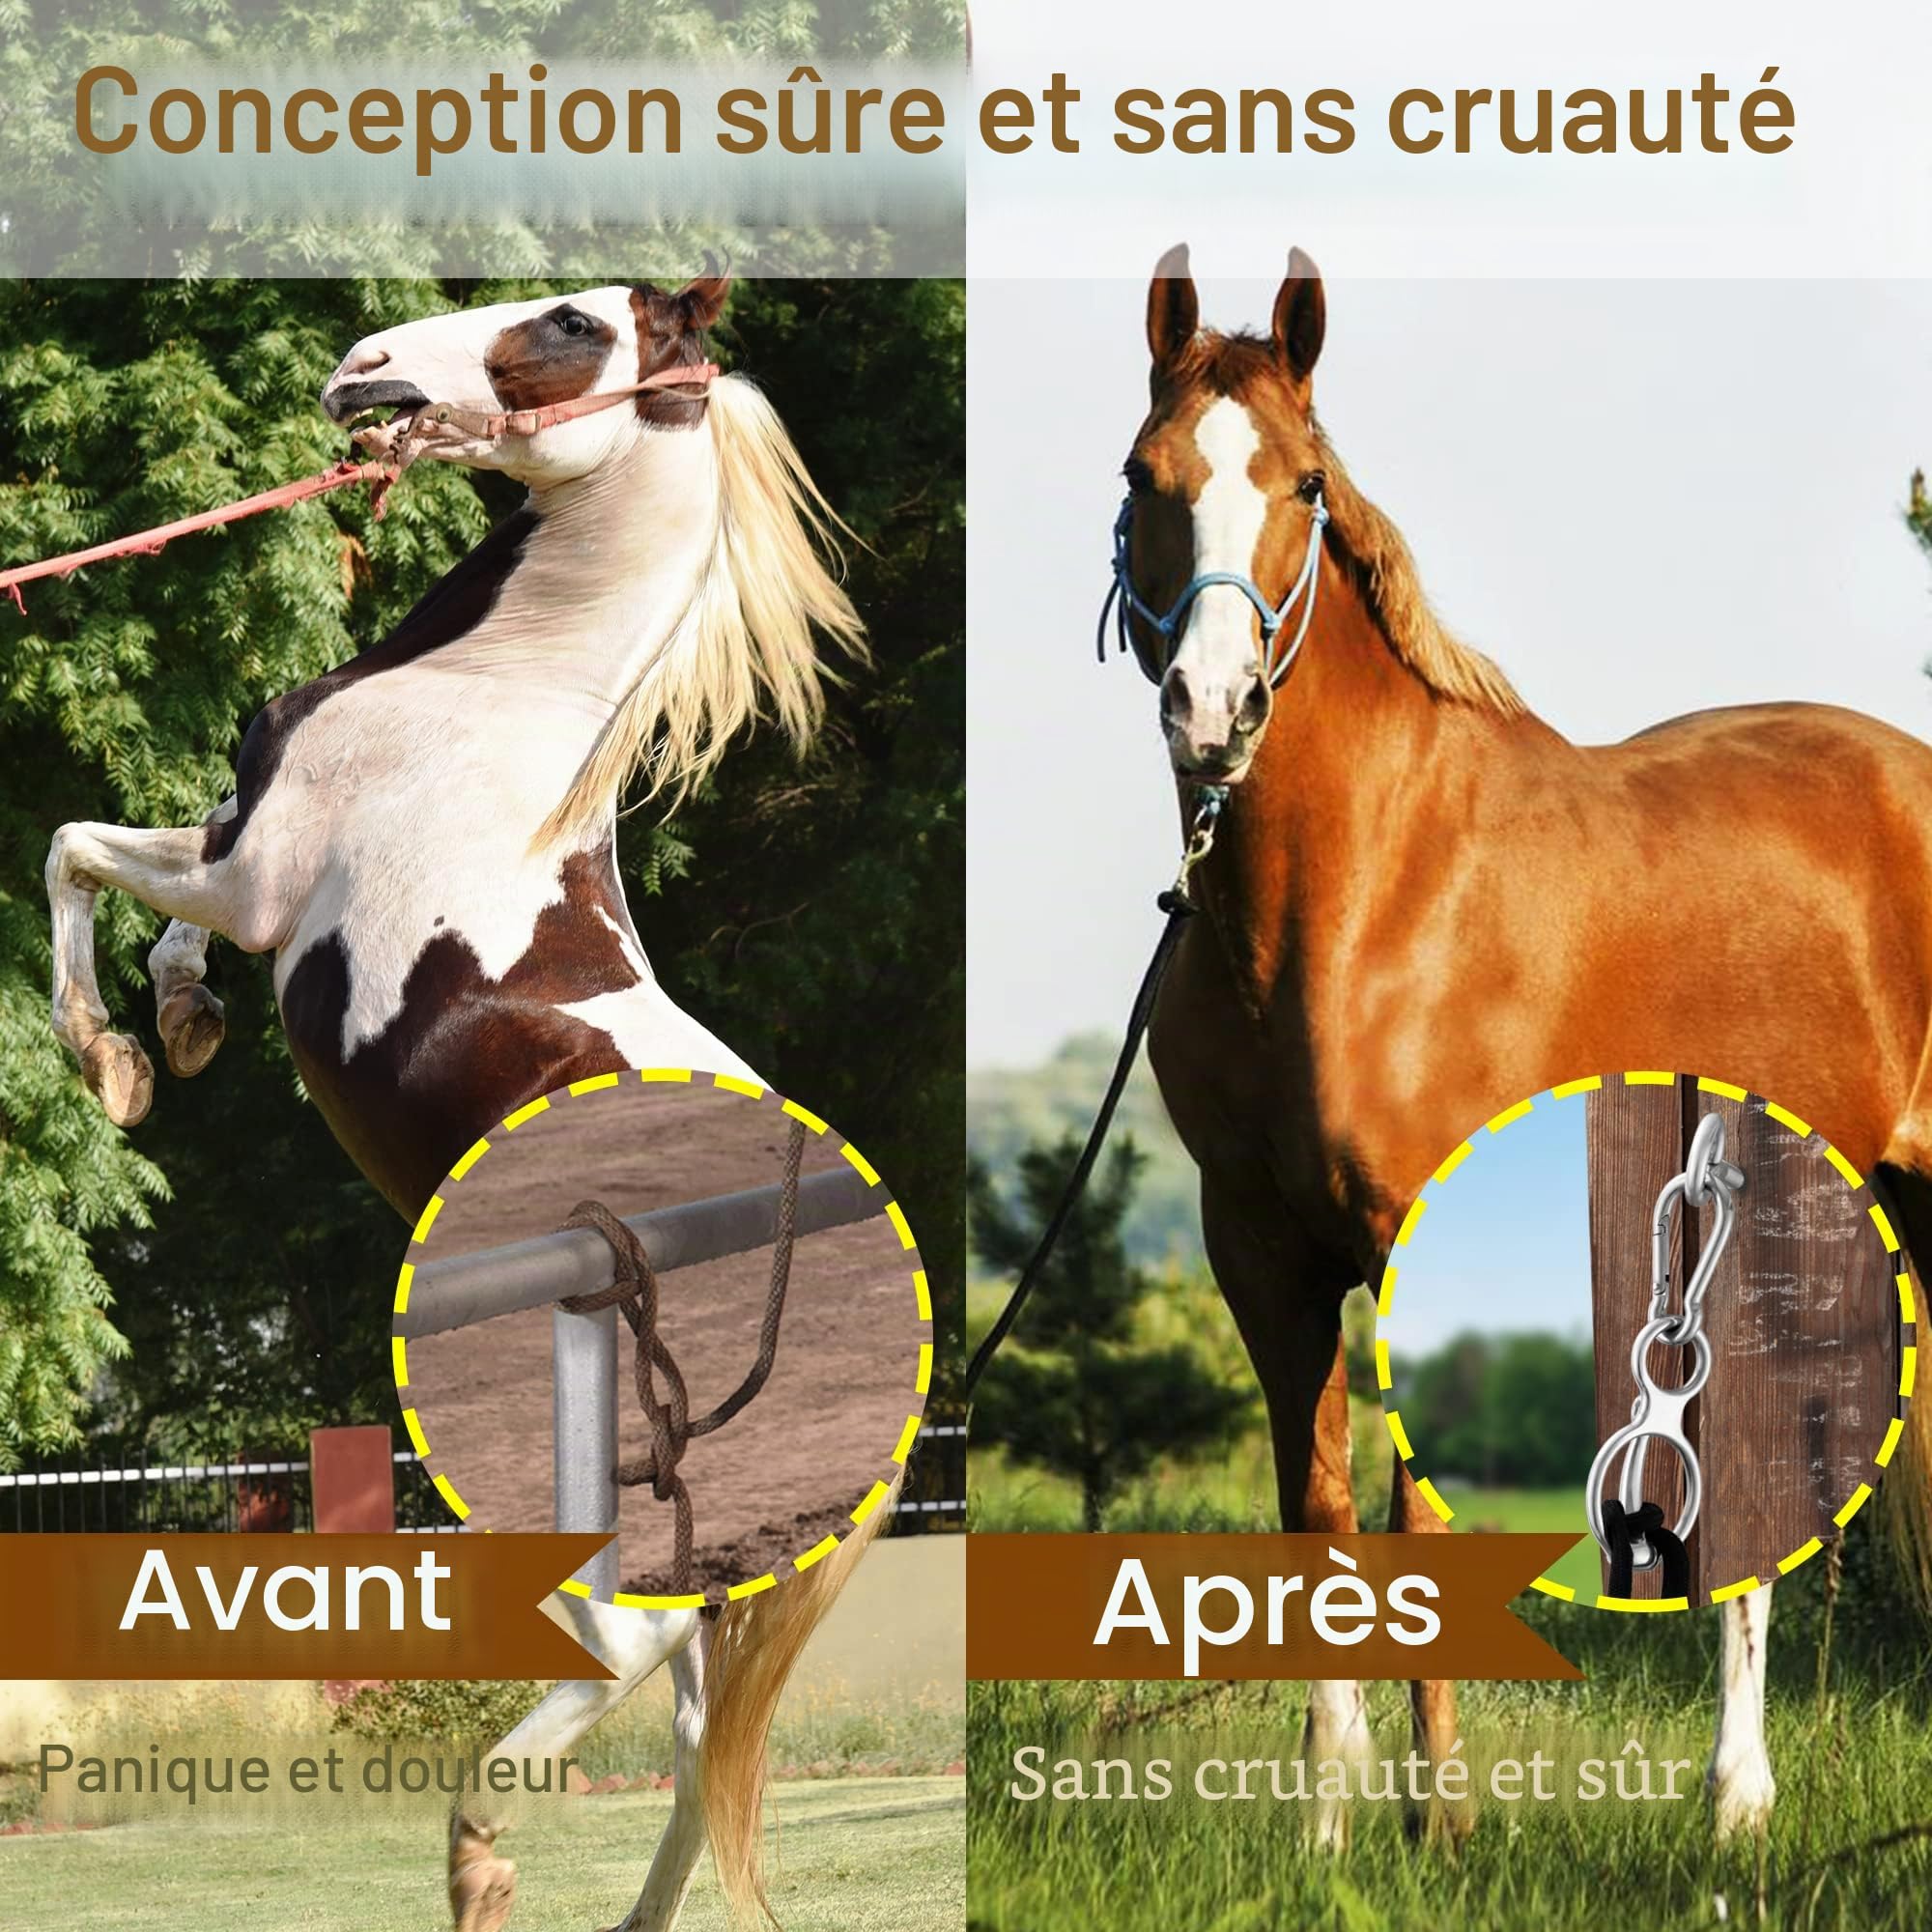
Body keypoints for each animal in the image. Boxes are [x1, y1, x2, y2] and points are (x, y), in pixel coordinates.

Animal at [44, 278, 886, 1930]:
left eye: (566, 324)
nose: (362, 369)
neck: (492, 697)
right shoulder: (238, 863)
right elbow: (146, 900)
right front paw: (175, 1030)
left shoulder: (249, 878)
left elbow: (72, 850)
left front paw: (105, 1053)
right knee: (697, 1736)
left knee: (633, 1643)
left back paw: (481, 1840)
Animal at [1121, 243, 1932, 1846]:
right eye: (1143, 475)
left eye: (1305, 484)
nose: (1214, 712)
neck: (1366, 904)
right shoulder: (1263, 1255)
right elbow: (1318, 1518)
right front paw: (1327, 1825)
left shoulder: (1401, 1243)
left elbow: (1415, 1518)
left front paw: (1439, 1822)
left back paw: (1734, 1800)